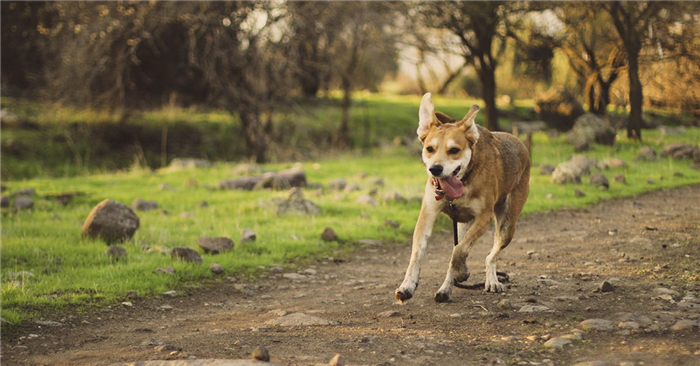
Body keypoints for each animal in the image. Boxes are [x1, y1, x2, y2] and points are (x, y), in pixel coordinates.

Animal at [394, 92, 532, 304]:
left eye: (454, 150)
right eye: (430, 149)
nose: (435, 169)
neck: (464, 181)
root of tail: (519, 143)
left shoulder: (484, 217)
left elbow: (460, 250)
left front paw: (462, 271)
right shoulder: (428, 214)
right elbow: (417, 254)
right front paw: (407, 286)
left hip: (507, 224)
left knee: (489, 256)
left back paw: (490, 280)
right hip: (462, 224)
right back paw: (445, 289)